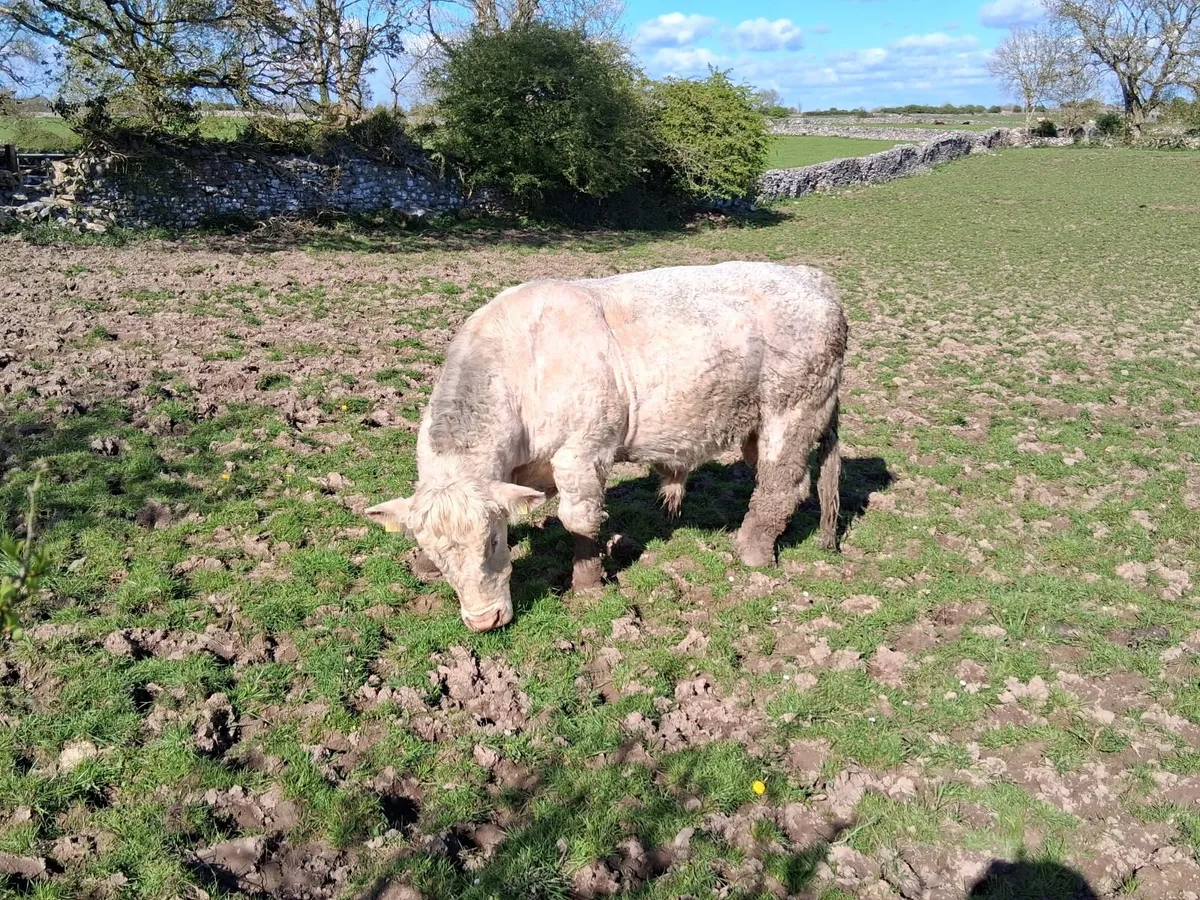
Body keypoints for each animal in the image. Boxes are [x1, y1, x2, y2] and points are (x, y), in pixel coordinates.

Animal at [365, 261, 847, 631]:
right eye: (436, 551)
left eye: (494, 542)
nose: (485, 622)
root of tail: (811, 276)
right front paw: (424, 568)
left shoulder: (583, 452)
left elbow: (579, 521)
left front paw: (588, 585)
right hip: (757, 425)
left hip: (794, 411)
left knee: (781, 485)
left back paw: (750, 551)